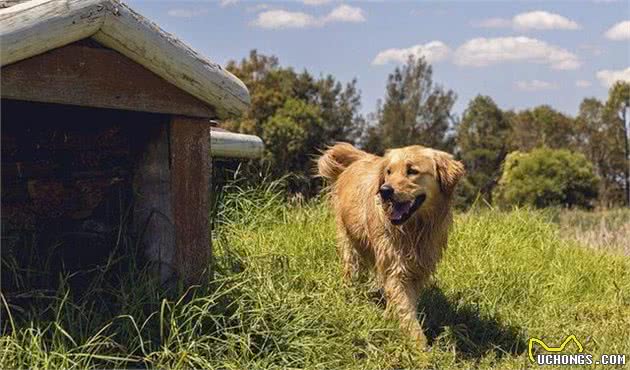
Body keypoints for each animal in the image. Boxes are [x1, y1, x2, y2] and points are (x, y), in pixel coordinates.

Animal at [318, 142, 466, 346]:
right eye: (389, 171)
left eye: (412, 170)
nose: (385, 190)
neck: (413, 230)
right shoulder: (396, 267)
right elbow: (405, 309)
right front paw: (420, 347)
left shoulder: (417, 269)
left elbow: (404, 302)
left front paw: (391, 319)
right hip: (349, 245)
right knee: (350, 271)